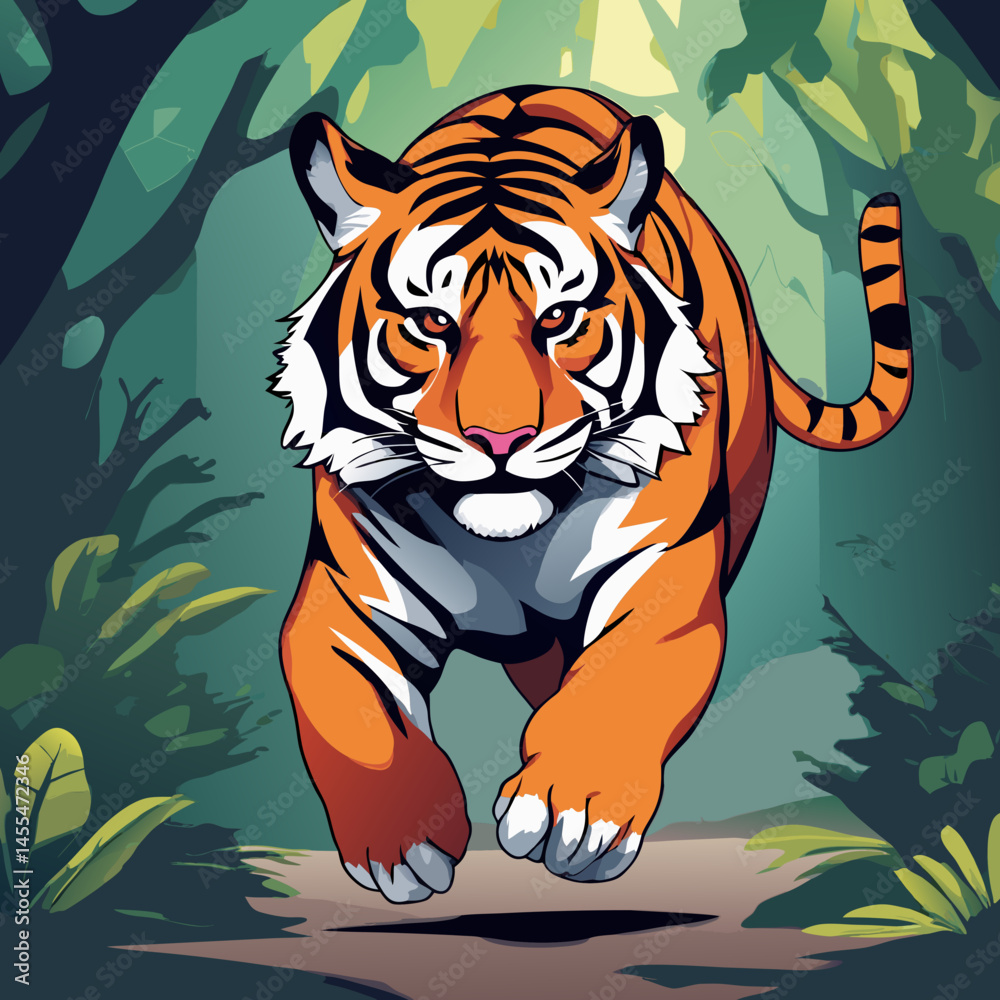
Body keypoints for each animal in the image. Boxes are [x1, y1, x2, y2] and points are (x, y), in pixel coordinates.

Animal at [269, 86, 913, 904]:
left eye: (558, 318)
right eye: (432, 322)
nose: (500, 438)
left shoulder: (664, 569)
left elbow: (617, 683)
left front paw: (569, 809)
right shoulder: (345, 600)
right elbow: (353, 717)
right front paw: (402, 837)